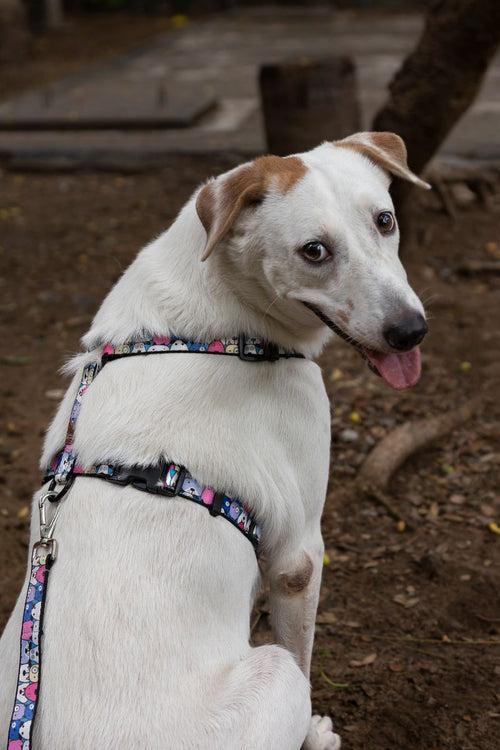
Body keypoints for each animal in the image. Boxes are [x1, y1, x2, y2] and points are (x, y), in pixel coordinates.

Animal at [0, 132, 430, 748]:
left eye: (386, 220)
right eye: (314, 251)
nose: (410, 332)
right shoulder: (299, 555)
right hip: (271, 674)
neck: (217, 327)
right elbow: (304, 654)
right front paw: (314, 733)